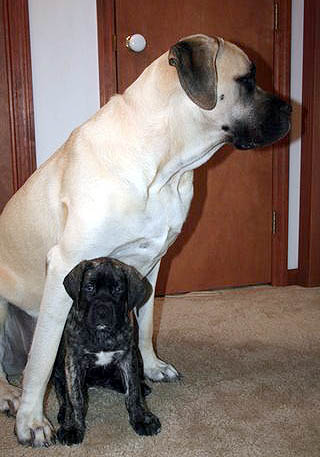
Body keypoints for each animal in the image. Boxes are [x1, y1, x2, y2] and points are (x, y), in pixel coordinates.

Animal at [0, 33, 290, 446]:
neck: (165, 167)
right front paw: (32, 421)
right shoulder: (63, 265)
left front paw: (149, 368)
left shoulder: (151, 268)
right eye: (247, 80)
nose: (292, 111)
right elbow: (41, 359)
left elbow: (146, 325)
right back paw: (10, 395)